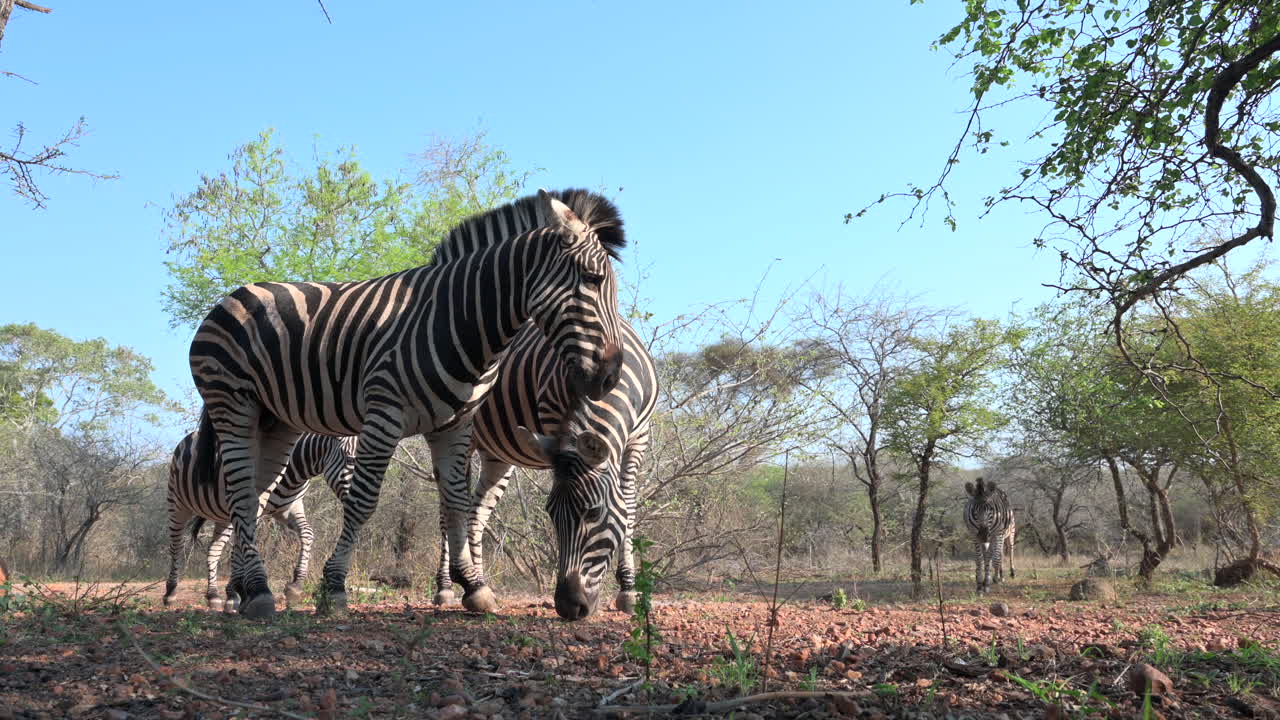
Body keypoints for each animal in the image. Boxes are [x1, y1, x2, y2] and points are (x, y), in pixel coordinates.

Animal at [164, 432, 356, 611]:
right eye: (350, 459)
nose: (358, 500)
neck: (293, 472)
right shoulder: (250, 509)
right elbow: (240, 549)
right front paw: (240, 592)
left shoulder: (289, 508)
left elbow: (307, 533)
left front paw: (295, 586)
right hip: (177, 503)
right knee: (176, 546)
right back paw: (171, 593)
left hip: (223, 517)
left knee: (214, 550)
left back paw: (213, 596)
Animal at [188, 188, 626, 618]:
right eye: (593, 279)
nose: (611, 376)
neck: (460, 321)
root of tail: (234, 295)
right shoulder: (385, 415)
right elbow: (363, 503)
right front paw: (334, 588)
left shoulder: (454, 426)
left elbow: (456, 504)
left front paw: (473, 587)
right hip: (233, 404)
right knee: (242, 491)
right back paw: (257, 591)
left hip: (276, 422)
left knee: (252, 499)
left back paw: (247, 589)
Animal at [432, 315, 656, 620]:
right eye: (551, 514)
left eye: (594, 512)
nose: (569, 607)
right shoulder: (555, 418)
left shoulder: (638, 439)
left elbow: (629, 507)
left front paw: (629, 590)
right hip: (459, 435)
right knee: (449, 509)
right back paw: (446, 588)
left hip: (497, 455)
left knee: (477, 512)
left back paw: (479, 587)